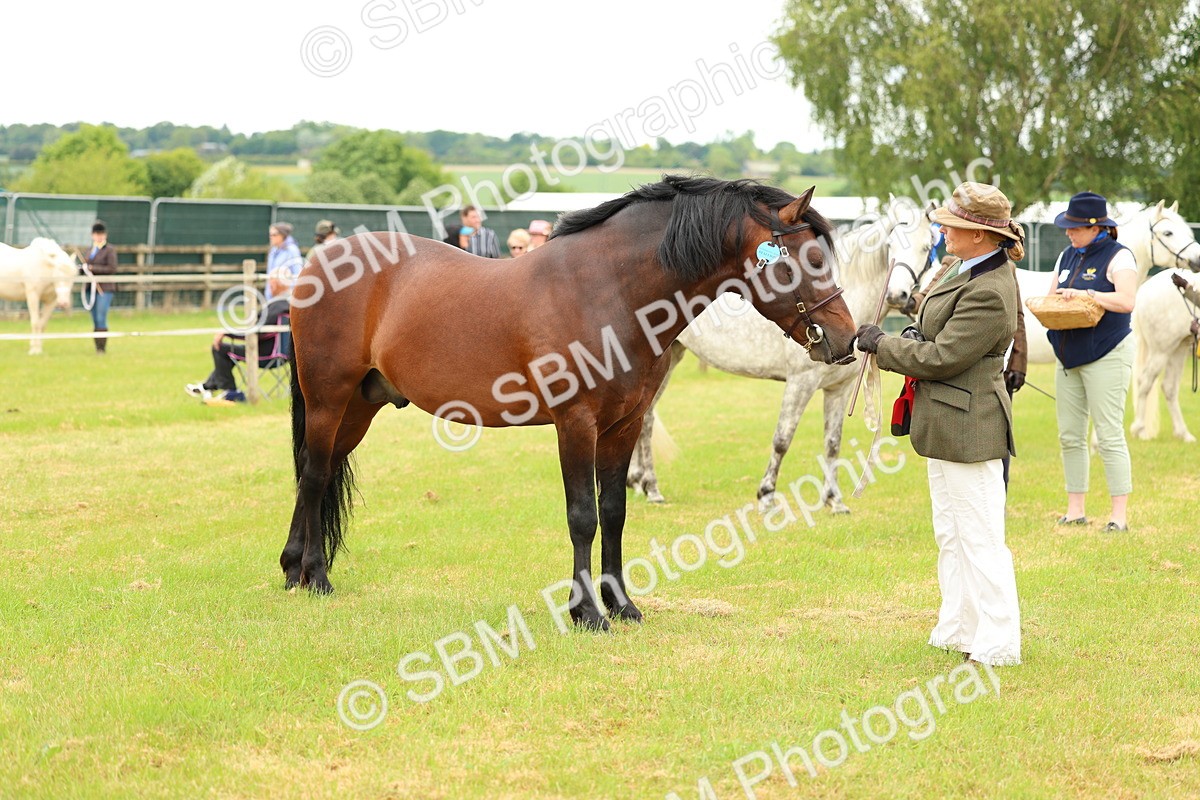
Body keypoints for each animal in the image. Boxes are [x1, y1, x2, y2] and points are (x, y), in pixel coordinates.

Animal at [283, 176, 857, 628]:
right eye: (809, 259)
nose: (845, 339)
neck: (608, 290)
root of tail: (321, 262)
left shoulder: (624, 425)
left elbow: (615, 510)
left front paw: (621, 605)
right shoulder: (576, 423)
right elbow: (583, 515)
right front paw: (585, 612)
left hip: (360, 406)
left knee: (318, 469)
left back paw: (293, 569)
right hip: (328, 398)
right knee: (314, 474)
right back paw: (317, 577)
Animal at [625, 197, 937, 507]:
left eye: (926, 247)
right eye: (891, 244)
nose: (897, 295)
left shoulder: (840, 389)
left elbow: (832, 442)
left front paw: (833, 500)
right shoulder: (801, 382)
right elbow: (782, 439)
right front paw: (766, 494)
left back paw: (639, 482)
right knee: (647, 419)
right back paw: (651, 488)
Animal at [1130, 269, 1200, 442]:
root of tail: (1144, 290)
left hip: (1178, 348)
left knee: (1169, 387)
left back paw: (1184, 434)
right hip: (1162, 350)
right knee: (1145, 381)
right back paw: (1138, 427)